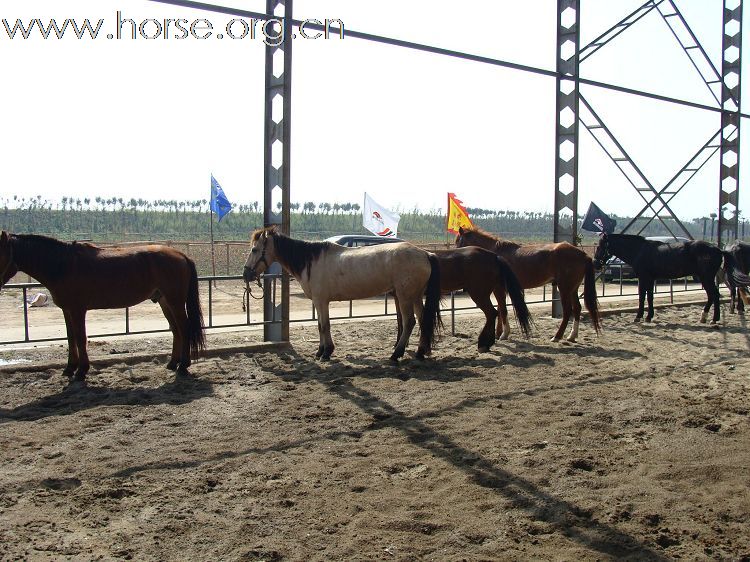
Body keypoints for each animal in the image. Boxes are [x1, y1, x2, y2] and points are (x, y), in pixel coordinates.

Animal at [0, 230, 206, 378]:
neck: (64, 265)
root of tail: (181, 255)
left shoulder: (77, 310)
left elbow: (80, 338)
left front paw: (81, 371)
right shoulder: (67, 310)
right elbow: (71, 338)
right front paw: (69, 368)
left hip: (175, 302)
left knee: (184, 328)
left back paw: (183, 366)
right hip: (164, 302)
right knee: (176, 330)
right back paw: (173, 363)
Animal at [452, 225, 604, 340]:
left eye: (458, 241)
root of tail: (583, 255)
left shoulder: (499, 288)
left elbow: (503, 309)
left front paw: (503, 334)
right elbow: (501, 309)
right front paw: (499, 333)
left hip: (564, 288)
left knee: (568, 310)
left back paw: (557, 336)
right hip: (573, 288)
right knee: (577, 308)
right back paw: (572, 336)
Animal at [596, 230, 750, 322]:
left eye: (600, 246)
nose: (596, 263)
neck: (639, 250)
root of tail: (718, 249)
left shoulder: (644, 278)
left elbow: (642, 297)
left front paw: (638, 317)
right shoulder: (650, 279)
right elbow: (650, 297)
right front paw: (649, 316)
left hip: (706, 278)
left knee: (714, 295)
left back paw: (712, 318)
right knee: (713, 296)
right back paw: (706, 317)